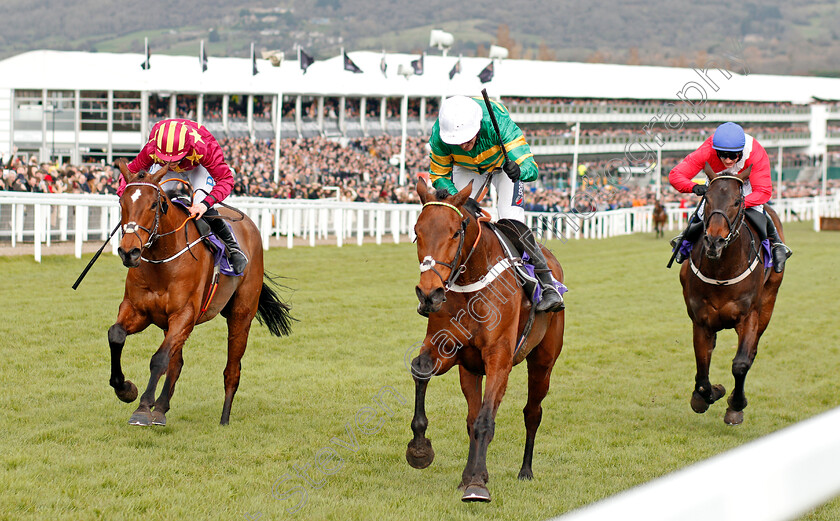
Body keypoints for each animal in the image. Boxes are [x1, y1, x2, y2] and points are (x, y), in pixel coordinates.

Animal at [108, 160, 292, 424]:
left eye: (153, 204)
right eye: (122, 203)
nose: (129, 252)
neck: (163, 261)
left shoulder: (185, 314)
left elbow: (159, 359)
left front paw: (142, 408)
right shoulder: (138, 310)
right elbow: (116, 335)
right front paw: (126, 390)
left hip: (241, 314)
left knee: (232, 369)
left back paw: (224, 418)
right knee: (176, 362)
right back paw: (161, 408)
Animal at [406, 181, 564, 502]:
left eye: (455, 232)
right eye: (417, 231)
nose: (429, 294)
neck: (470, 284)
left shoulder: (499, 358)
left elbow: (485, 421)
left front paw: (478, 483)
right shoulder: (449, 351)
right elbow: (421, 368)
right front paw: (419, 448)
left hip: (543, 362)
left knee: (532, 412)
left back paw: (525, 471)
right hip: (470, 370)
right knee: (472, 415)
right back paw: (467, 474)